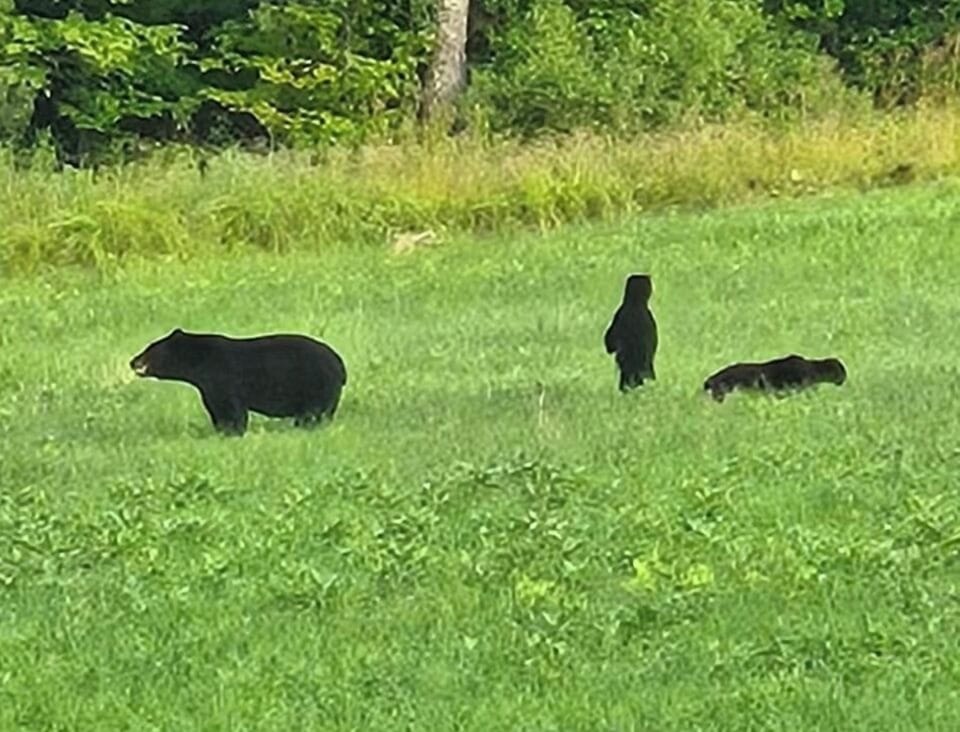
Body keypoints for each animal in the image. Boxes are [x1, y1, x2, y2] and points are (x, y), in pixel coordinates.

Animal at [130, 328, 347, 436]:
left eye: (150, 348)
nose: (132, 361)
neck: (200, 362)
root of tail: (340, 363)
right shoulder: (208, 387)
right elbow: (215, 409)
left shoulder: (224, 379)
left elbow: (231, 409)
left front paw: (234, 431)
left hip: (315, 385)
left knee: (314, 414)